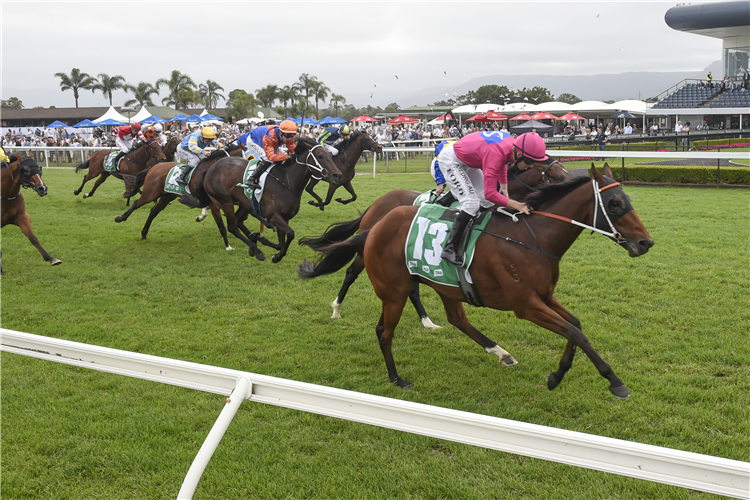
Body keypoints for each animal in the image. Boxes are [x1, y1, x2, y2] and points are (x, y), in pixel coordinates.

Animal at [113, 146, 242, 245]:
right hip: (150, 193)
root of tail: (155, 166)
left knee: (154, 211)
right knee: (137, 203)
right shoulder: (213, 202)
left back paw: (144, 233)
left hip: (167, 196)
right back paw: (120, 218)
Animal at [184, 135, 346, 264]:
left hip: (244, 203)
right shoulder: (273, 216)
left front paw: (264, 242)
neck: (286, 181)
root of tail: (210, 168)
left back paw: (253, 243)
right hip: (225, 201)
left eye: (330, 156)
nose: (338, 175)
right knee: (232, 227)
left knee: (238, 220)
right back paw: (256, 251)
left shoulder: (284, 217)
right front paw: (274, 254)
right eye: (319, 156)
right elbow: (291, 234)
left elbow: (281, 242)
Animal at [300, 158, 576, 326]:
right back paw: (336, 308)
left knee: (411, 287)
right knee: (350, 273)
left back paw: (427, 321)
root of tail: (376, 203)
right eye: (553, 173)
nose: (572, 179)